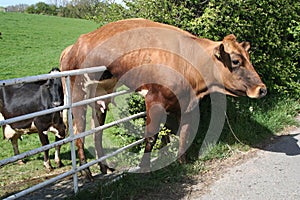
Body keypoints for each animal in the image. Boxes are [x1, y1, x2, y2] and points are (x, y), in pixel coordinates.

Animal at [59, 18, 266, 179]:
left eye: (248, 57)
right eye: (236, 61)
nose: (262, 89)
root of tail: (72, 47)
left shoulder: (187, 105)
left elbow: (184, 134)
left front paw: (182, 162)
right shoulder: (154, 101)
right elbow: (151, 136)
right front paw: (144, 167)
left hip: (100, 95)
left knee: (97, 132)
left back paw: (104, 168)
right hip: (78, 94)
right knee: (78, 132)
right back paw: (86, 173)